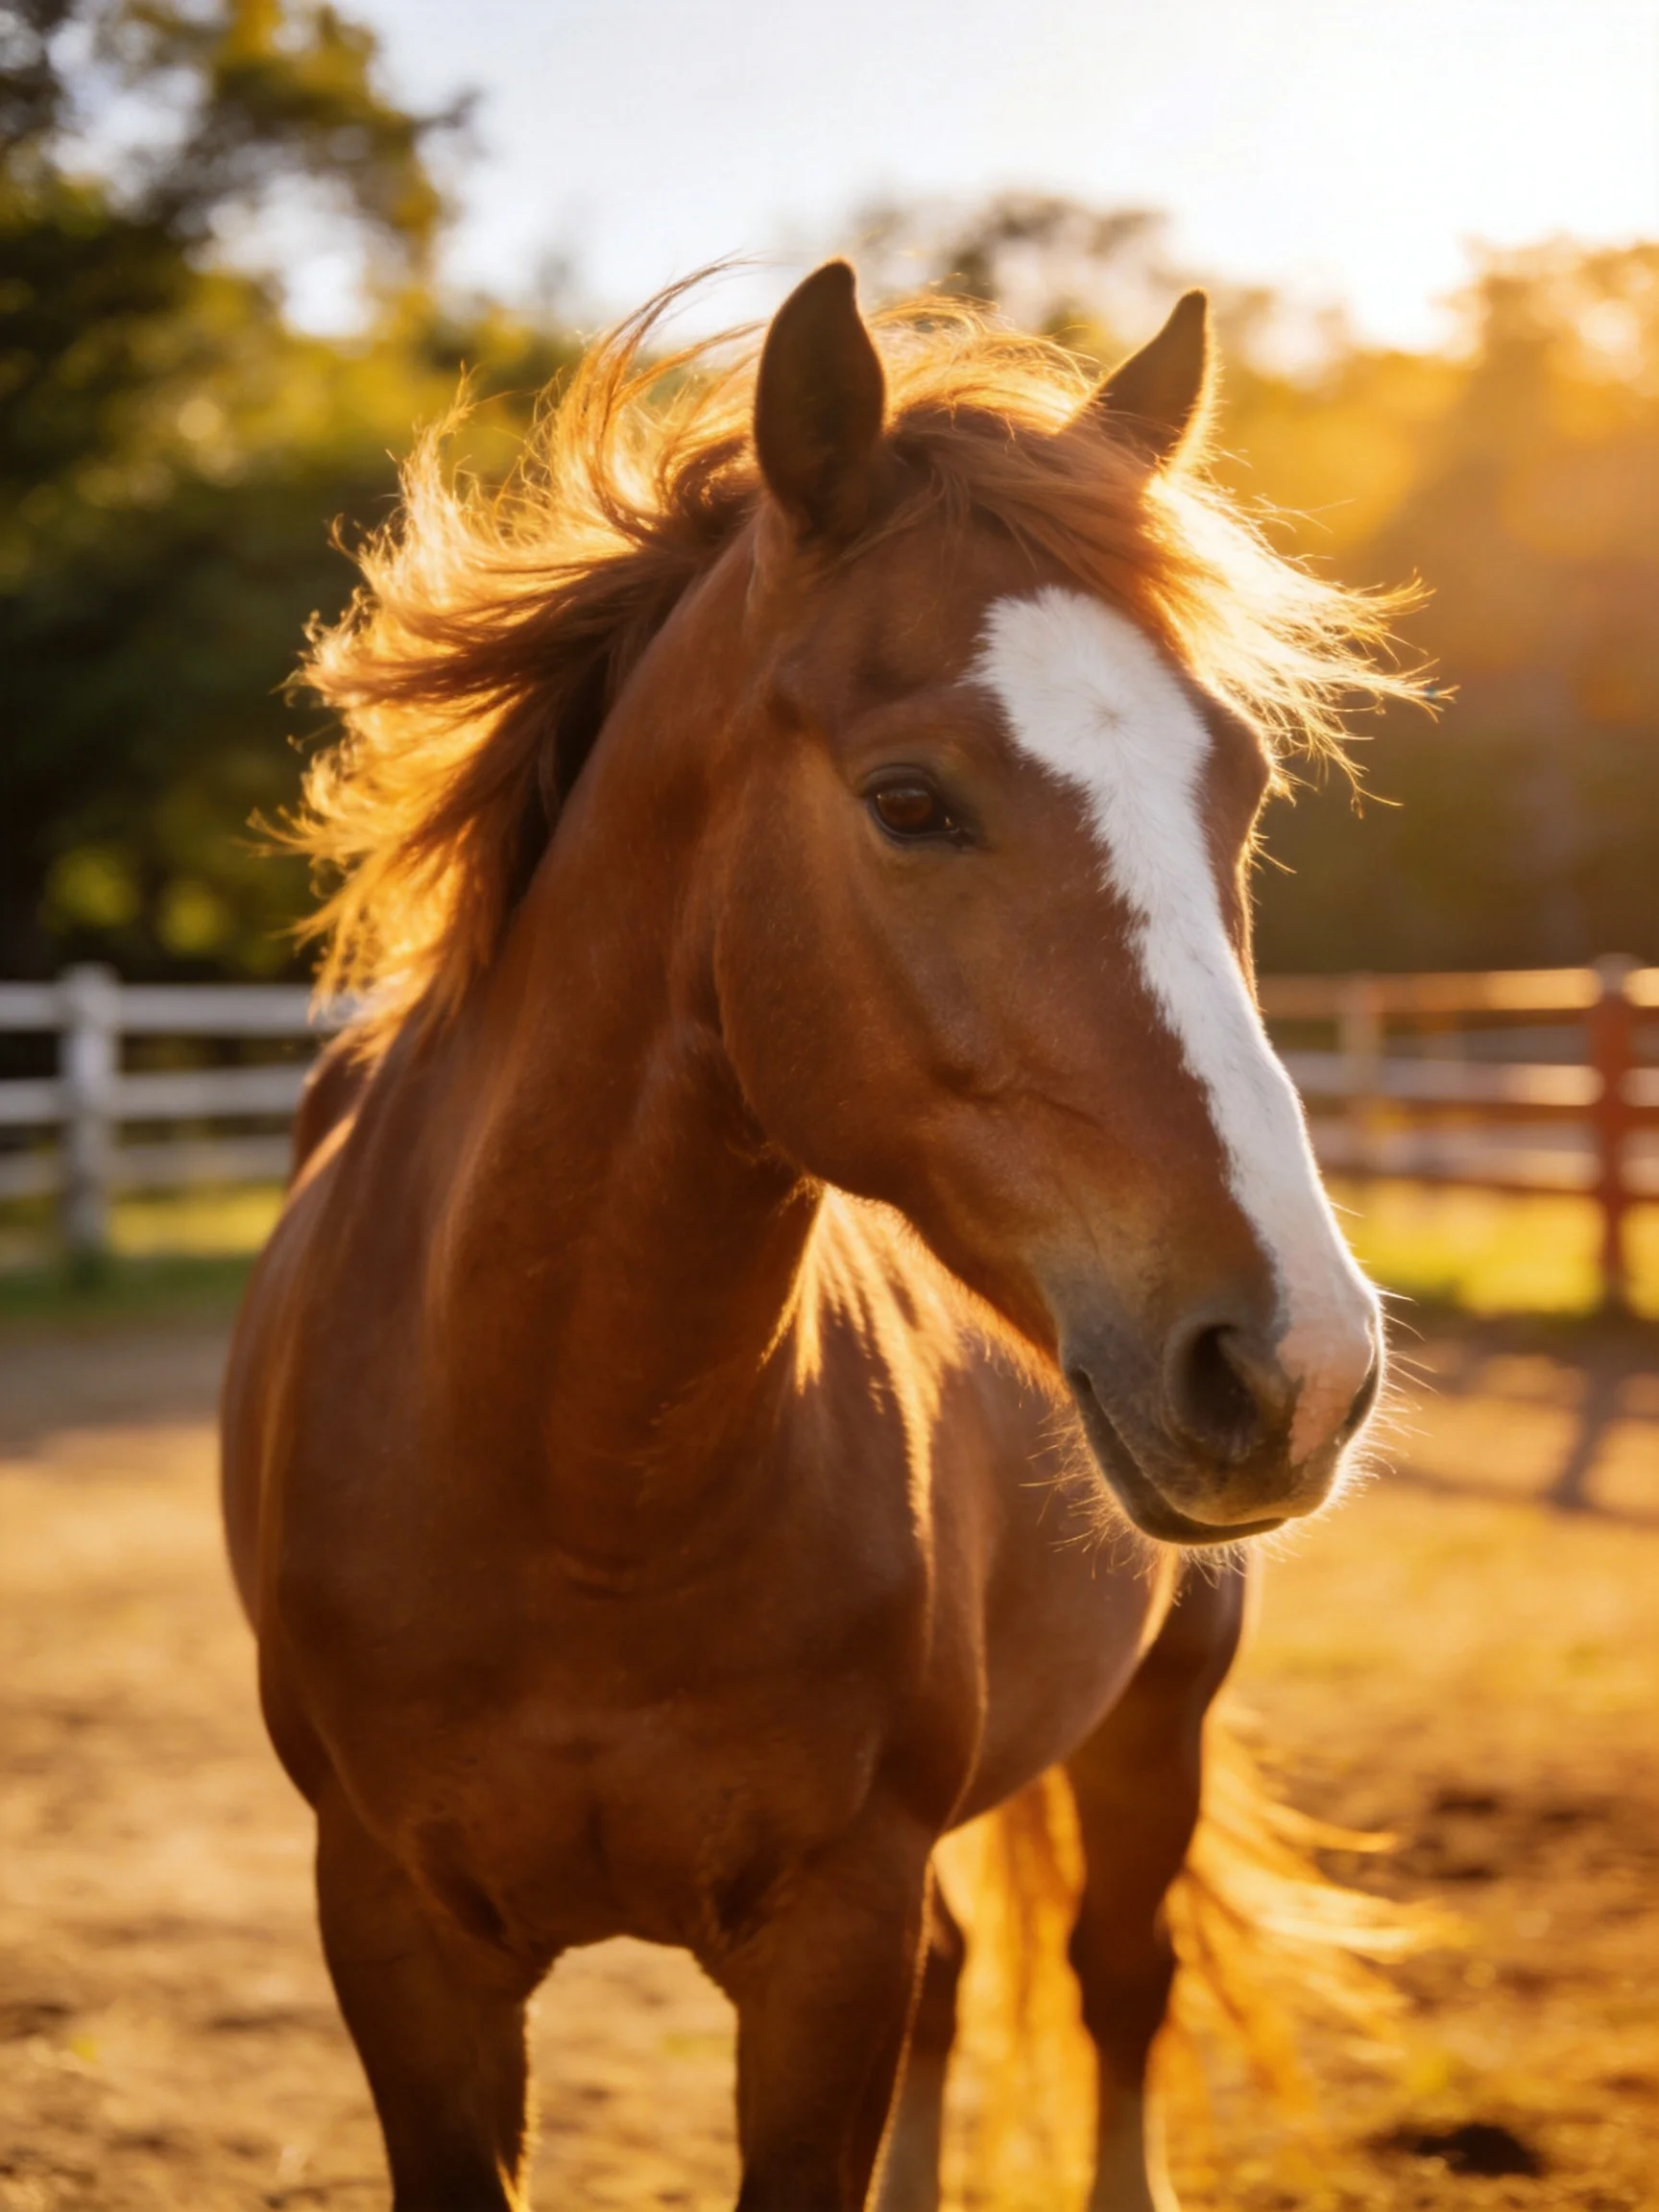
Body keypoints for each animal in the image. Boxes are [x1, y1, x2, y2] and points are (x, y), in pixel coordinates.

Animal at [222, 260, 1417, 2211]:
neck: (576, 1489)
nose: (1297, 1364)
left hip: (1157, 1709)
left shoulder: (826, 1934)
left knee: (1117, 1978)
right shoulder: (395, 1933)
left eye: (1233, 789)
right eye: (909, 798)